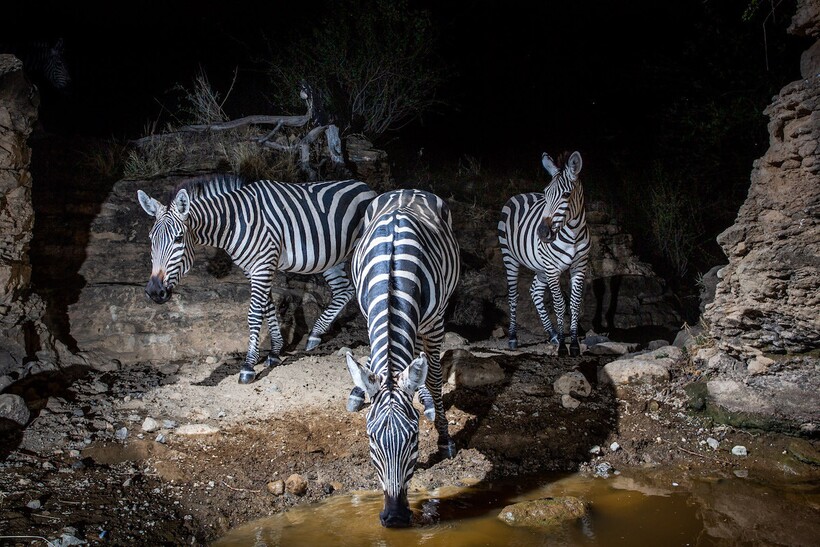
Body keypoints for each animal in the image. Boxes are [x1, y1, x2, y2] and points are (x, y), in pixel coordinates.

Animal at [136, 176, 376, 386]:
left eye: (178, 238)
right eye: (150, 239)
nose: (155, 291)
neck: (234, 224)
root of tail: (364, 185)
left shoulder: (263, 264)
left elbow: (254, 313)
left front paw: (248, 367)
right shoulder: (253, 269)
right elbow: (267, 307)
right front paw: (275, 352)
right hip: (332, 257)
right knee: (344, 290)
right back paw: (315, 335)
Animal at [342, 188, 462, 528]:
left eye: (414, 438)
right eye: (371, 439)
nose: (394, 518)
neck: (393, 274)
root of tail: (406, 190)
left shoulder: (435, 323)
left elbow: (433, 378)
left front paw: (445, 438)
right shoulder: (369, 313)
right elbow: (375, 363)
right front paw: (363, 388)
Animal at [494, 150, 588, 358]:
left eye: (566, 194)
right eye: (546, 194)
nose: (542, 233)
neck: (572, 233)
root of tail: (520, 194)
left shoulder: (579, 267)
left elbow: (575, 304)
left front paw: (573, 345)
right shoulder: (553, 269)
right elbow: (559, 305)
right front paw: (562, 347)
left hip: (541, 266)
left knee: (535, 291)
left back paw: (552, 335)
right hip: (510, 257)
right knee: (513, 295)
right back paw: (513, 338)